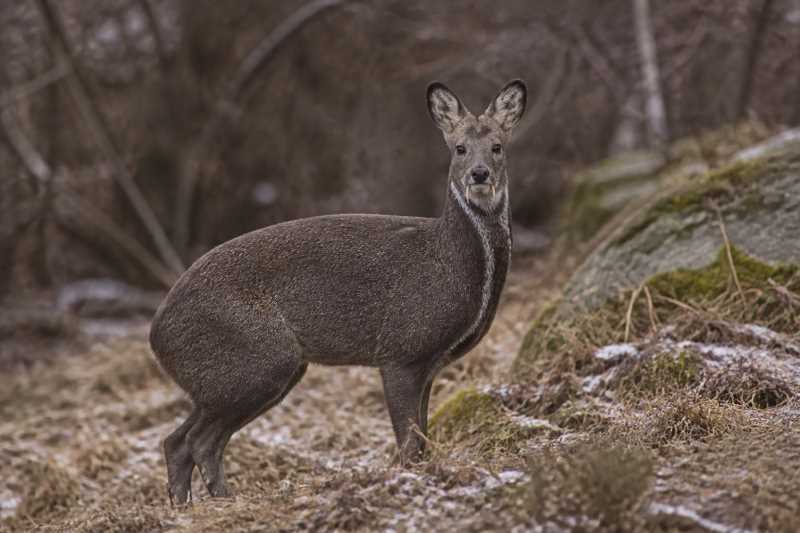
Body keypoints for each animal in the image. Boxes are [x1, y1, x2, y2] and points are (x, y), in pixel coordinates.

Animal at [149, 79, 526, 504]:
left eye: (497, 146)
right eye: (459, 148)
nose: (479, 174)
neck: (447, 263)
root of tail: (156, 334)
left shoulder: (430, 364)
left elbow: (423, 439)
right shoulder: (400, 349)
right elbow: (409, 443)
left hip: (239, 375)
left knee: (178, 440)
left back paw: (188, 506)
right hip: (256, 358)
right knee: (198, 440)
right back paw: (223, 500)